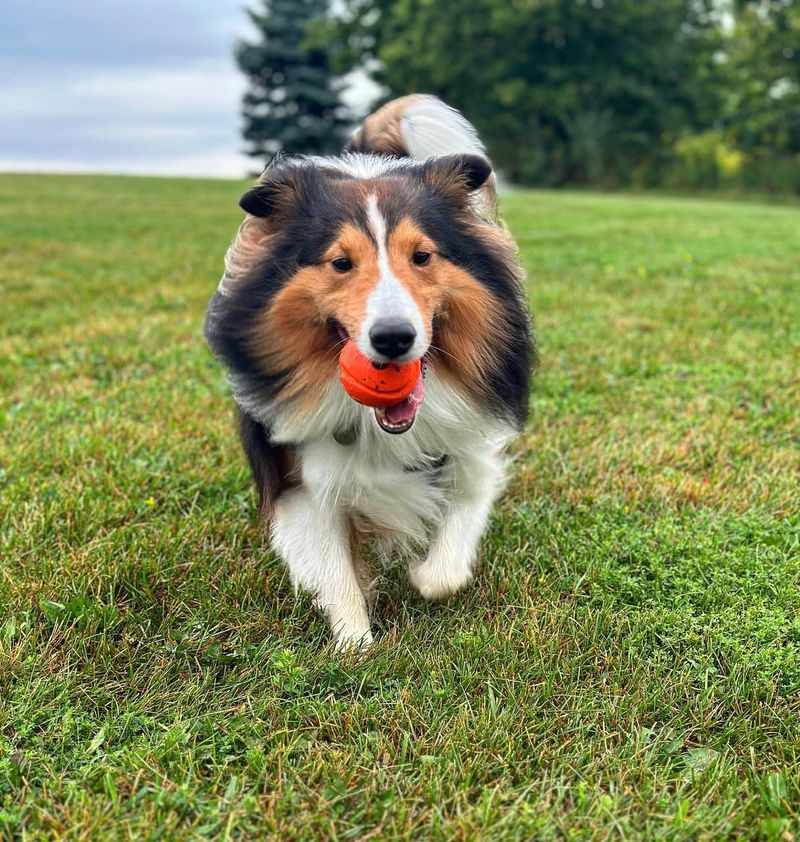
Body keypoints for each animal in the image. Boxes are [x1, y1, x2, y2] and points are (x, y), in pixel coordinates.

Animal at [205, 95, 532, 648]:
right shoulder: (303, 478)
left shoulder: (470, 443)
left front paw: (425, 577)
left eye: (422, 256)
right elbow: (335, 570)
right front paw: (355, 646)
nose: (393, 338)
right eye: (340, 263)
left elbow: (453, 545)